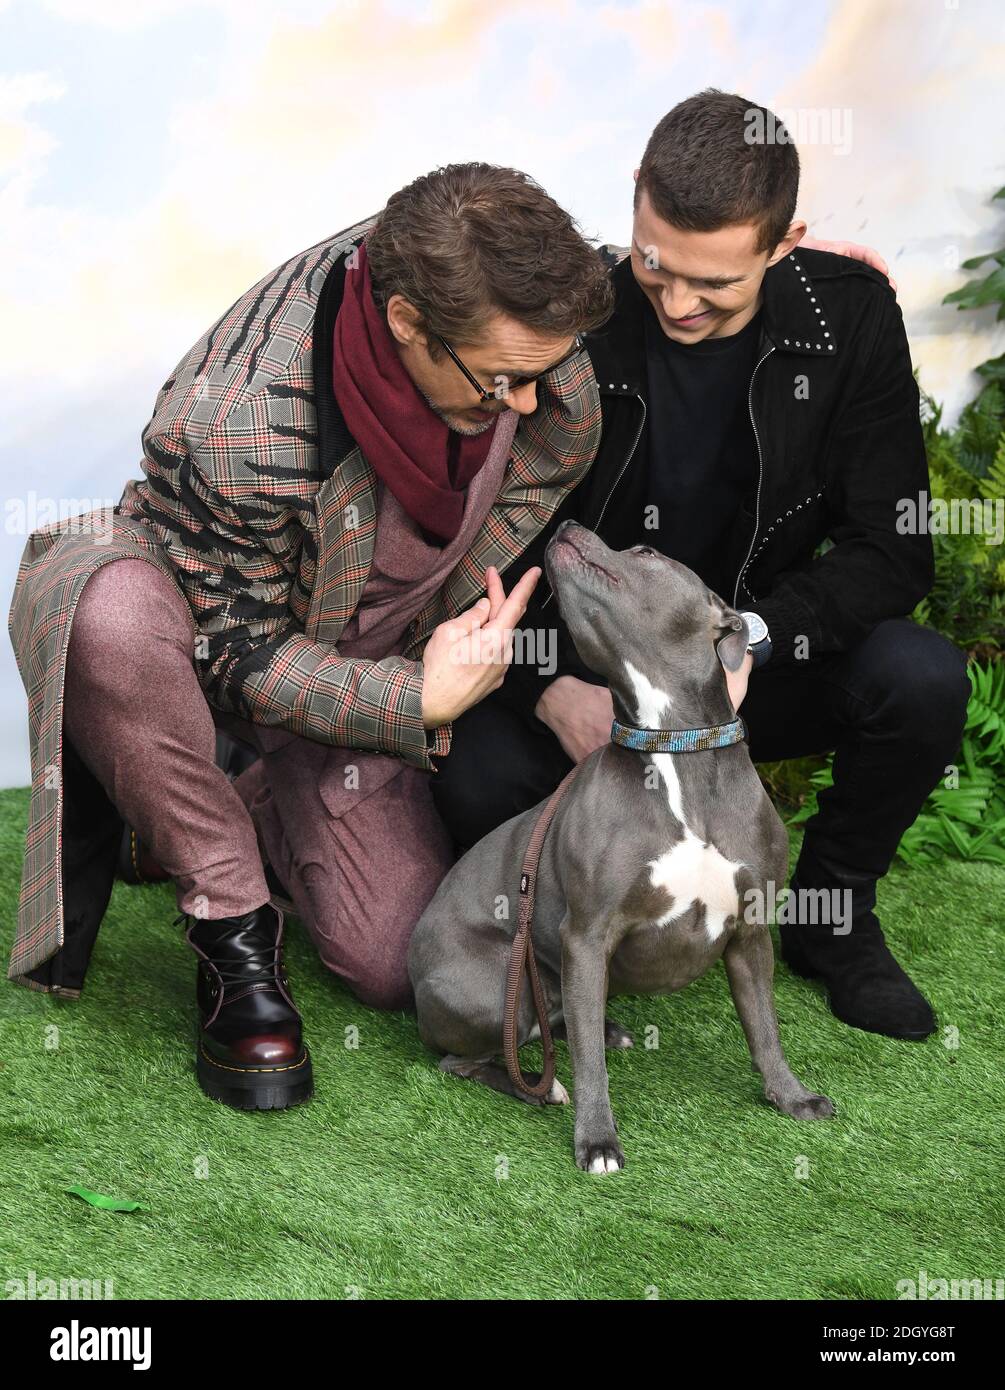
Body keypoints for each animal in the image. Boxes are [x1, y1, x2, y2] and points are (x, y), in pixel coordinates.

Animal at [408, 522, 834, 1173]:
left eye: (647, 551)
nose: (565, 525)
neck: (672, 745)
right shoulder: (587, 934)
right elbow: (591, 1068)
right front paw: (597, 1140)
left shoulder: (750, 932)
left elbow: (765, 1027)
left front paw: (790, 1095)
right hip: (500, 980)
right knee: (471, 1059)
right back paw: (542, 1086)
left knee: (563, 1022)